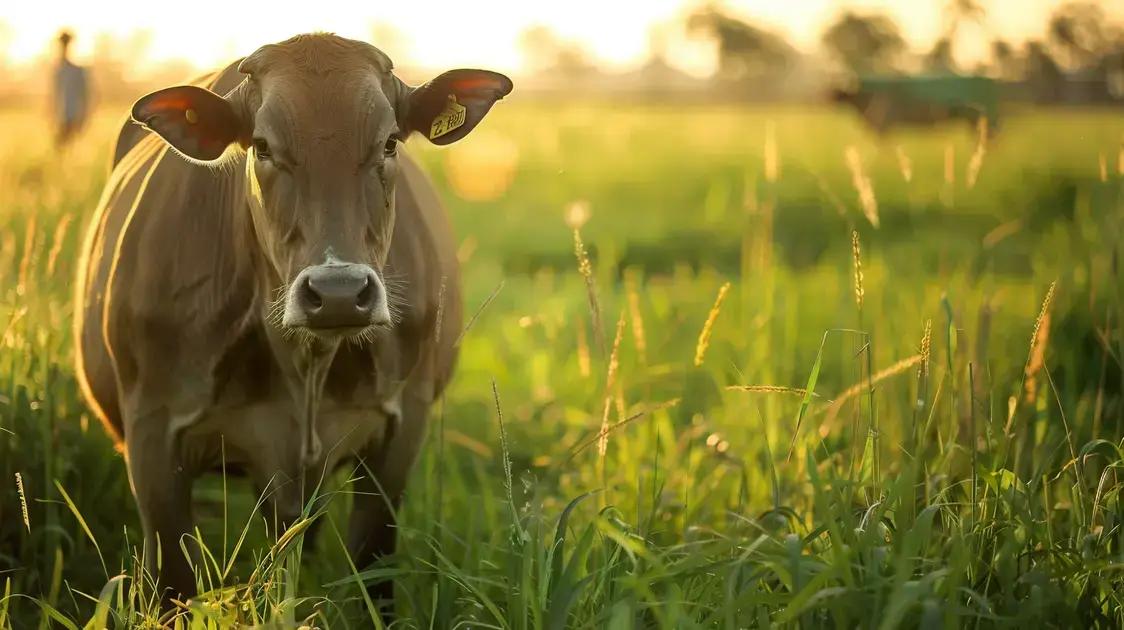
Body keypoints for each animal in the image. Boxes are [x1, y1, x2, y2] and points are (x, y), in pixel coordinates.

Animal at [70, 34, 510, 616]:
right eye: (261, 146)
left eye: (391, 142)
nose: (339, 293)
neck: (304, 364)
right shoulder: (152, 434)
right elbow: (174, 584)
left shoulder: (402, 425)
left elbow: (373, 570)